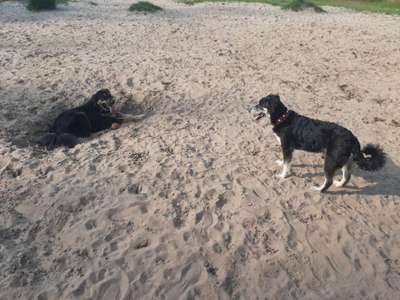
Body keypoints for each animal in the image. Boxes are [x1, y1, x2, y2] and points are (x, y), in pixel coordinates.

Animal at [252, 94, 386, 192]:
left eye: (260, 104)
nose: (249, 108)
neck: (282, 118)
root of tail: (353, 138)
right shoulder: (288, 149)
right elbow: (285, 162)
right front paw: (280, 163)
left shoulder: (287, 147)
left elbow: (286, 164)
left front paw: (282, 176)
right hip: (344, 160)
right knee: (347, 176)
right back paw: (339, 184)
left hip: (330, 161)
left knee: (329, 181)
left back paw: (319, 189)